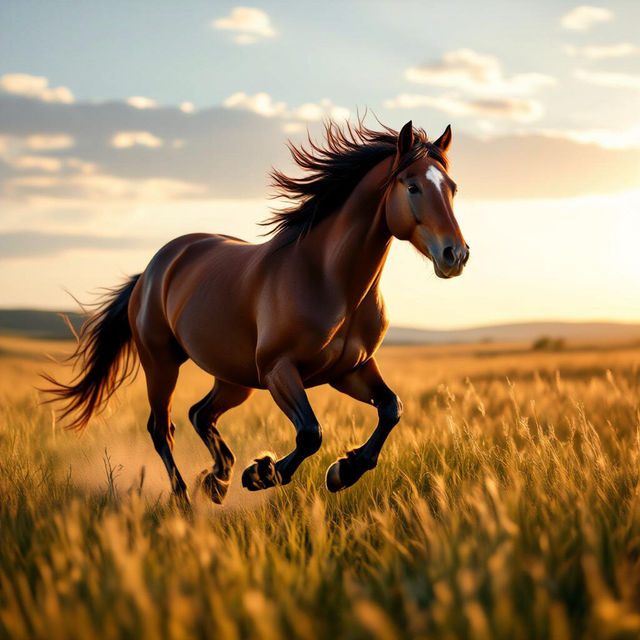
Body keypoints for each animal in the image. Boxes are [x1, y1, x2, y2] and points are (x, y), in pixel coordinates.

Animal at [46, 120, 469, 505]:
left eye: (452, 188)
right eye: (412, 187)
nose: (456, 255)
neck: (328, 280)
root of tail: (153, 269)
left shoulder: (350, 370)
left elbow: (391, 409)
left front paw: (343, 471)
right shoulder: (279, 369)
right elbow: (310, 432)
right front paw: (262, 474)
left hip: (235, 378)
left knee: (200, 414)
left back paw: (216, 480)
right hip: (162, 363)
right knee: (161, 427)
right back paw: (185, 497)